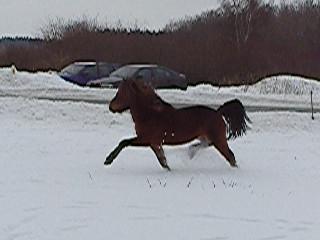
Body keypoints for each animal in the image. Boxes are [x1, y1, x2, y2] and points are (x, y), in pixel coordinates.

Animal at [104, 79, 251, 171]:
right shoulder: (155, 144)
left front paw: (108, 160)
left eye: (122, 92)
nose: (111, 106)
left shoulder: (146, 139)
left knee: (230, 156)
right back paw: (191, 152)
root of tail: (218, 112)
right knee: (207, 145)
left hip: (218, 140)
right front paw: (169, 170)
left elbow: (124, 142)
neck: (150, 113)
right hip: (209, 138)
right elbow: (162, 160)